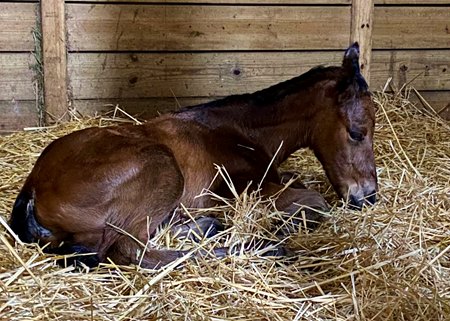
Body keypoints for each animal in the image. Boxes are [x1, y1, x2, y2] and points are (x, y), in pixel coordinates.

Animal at [9, 43, 376, 268]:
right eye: (356, 132)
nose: (368, 196)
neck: (241, 132)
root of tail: (33, 185)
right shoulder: (246, 190)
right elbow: (316, 201)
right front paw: (280, 228)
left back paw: (208, 226)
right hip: (161, 166)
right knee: (129, 250)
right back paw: (263, 246)